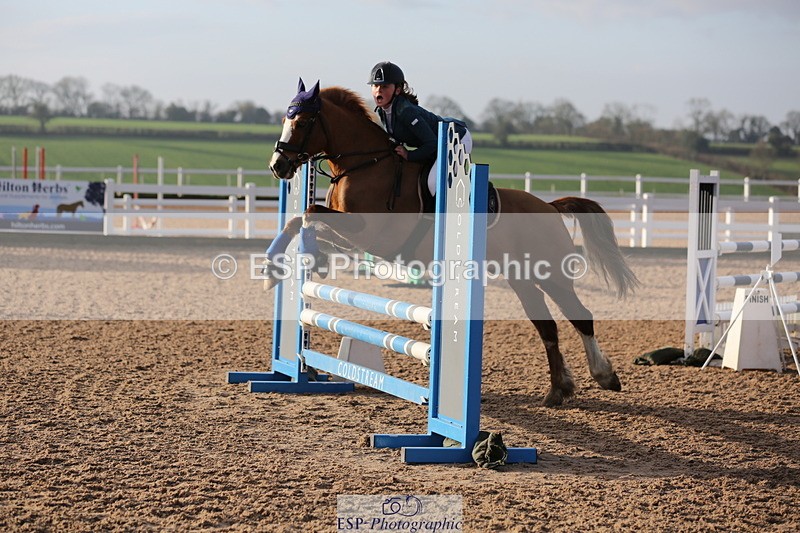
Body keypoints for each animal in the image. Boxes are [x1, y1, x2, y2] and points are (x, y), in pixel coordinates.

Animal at [264, 79, 639, 407]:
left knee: (581, 317)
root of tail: (549, 206)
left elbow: (309, 213)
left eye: (302, 121)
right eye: (285, 119)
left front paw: (300, 263)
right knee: (547, 326)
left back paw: (604, 376)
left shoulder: (368, 233)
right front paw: (278, 268)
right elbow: (301, 220)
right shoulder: (352, 237)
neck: (365, 164)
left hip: (550, 275)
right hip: (521, 279)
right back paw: (558, 391)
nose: (277, 166)